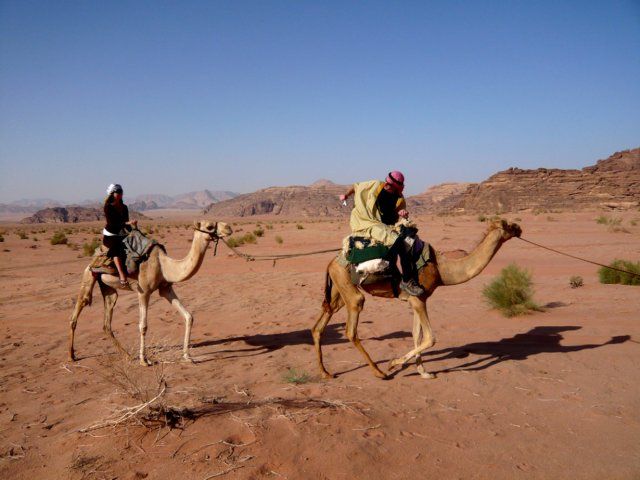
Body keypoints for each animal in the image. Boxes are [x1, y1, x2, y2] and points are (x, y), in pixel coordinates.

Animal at [69, 220, 232, 365]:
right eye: (209, 226)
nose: (228, 228)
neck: (164, 265)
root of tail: (97, 252)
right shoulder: (143, 291)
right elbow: (143, 326)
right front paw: (144, 360)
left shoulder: (165, 289)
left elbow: (188, 317)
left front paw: (187, 357)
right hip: (89, 273)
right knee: (80, 305)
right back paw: (71, 356)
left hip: (107, 287)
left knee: (107, 318)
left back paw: (127, 355)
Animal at [312, 219, 522, 379]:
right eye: (508, 225)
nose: (520, 228)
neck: (441, 270)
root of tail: (332, 261)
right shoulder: (418, 299)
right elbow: (430, 338)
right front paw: (393, 363)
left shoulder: (418, 301)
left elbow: (416, 334)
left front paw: (424, 372)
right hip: (350, 290)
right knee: (351, 327)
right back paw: (379, 372)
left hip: (338, 287)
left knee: (321, 323)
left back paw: (325, 373)